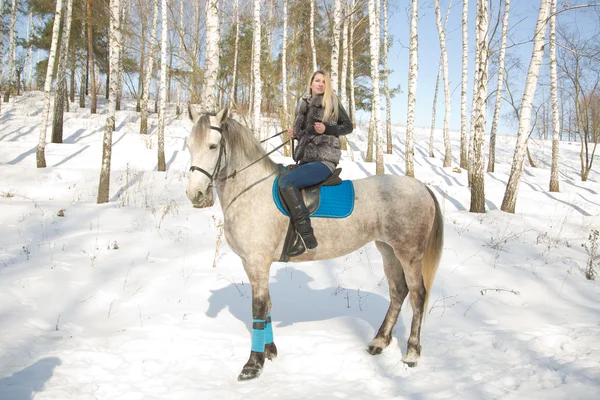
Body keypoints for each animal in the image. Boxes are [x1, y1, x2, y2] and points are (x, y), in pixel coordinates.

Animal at [185, 108, 442, 382]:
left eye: (213, 146)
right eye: (189, 145)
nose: (194, 194)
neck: (250, 190)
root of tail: (421, 187)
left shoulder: (256, 262)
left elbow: (258, 309)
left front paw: (253, 364)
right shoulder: (255, 265)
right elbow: (268, 306)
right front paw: (270, 352)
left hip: (409, 254)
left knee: (417, 295)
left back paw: (412, 354)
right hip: (388, 250)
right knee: (397, 292)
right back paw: (379, 342)